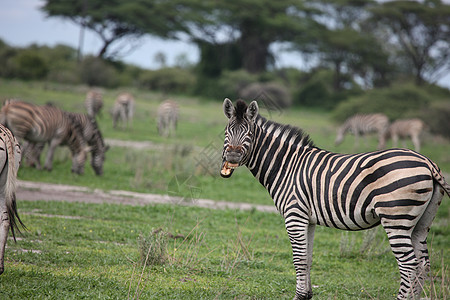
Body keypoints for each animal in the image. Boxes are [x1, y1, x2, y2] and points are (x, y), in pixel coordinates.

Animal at [220, 99, 448, 300]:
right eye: (226, 132)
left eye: (249, 133)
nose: (232, 157)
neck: (287, 165)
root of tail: (428, 162)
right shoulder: (308, 219)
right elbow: (308, 258)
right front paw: (306, 295)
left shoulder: (294, 215)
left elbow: (299, 259)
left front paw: (299, 296)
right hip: (421, 223)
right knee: (423, 264)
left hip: (396, 218)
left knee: (409, 265)